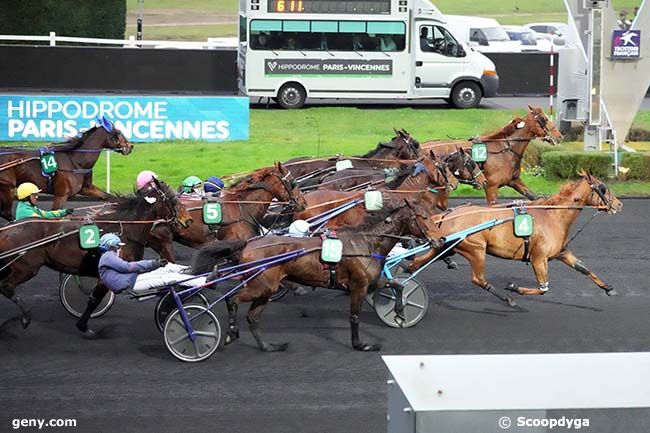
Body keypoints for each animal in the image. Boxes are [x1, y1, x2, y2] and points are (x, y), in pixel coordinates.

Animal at [0, 120, 132, 219]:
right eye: (119, 132)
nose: (130, 146)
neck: (76, 161)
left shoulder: (86, 188)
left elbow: (108, 196)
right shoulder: (61, 195)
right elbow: (56, 213)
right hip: (7, 187)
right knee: (6, 213)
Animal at [0, 179, 192, 328]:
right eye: (173, 200)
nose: (188, 220)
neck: (124, 230)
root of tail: (7, 230)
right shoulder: (108, 271)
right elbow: (94, 298)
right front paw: (83, 325)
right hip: (26, 268)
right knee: (6, 286)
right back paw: (26, 317)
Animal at [408, 170, 620, 306]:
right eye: (603, 187)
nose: (619, 204)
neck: (553, 215)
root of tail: (448, 215)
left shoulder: (561, 253)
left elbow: (584, 269)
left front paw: (609, 288)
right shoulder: (538, 258)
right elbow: (543, 288)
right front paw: (514, 287)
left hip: (448, 246)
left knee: (416, 263)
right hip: (476, 249)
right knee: (478, 279)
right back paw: (507, 298)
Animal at [418, 106, 560, 204]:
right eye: (544, 119)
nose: (559, 136)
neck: (505, 151)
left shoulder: (514, 181)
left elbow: (533, 197)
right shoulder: (491, 187)